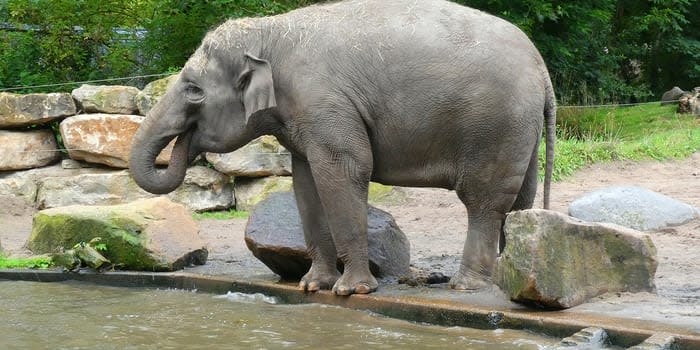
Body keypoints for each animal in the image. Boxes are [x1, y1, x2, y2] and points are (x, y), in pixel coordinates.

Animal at [129, 0, 556, 296]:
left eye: (193, 90)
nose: (186, 144)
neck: (271, 32)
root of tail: (542, 68)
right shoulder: (303, 119)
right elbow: (305, 183)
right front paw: (313, 286)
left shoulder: (325, 104)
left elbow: (345, 170)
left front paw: (352, 291)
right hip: (520, 129)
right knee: (522, 198)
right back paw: (507, 279)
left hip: (495, 125)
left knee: (483, 201)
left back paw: (467, 285)